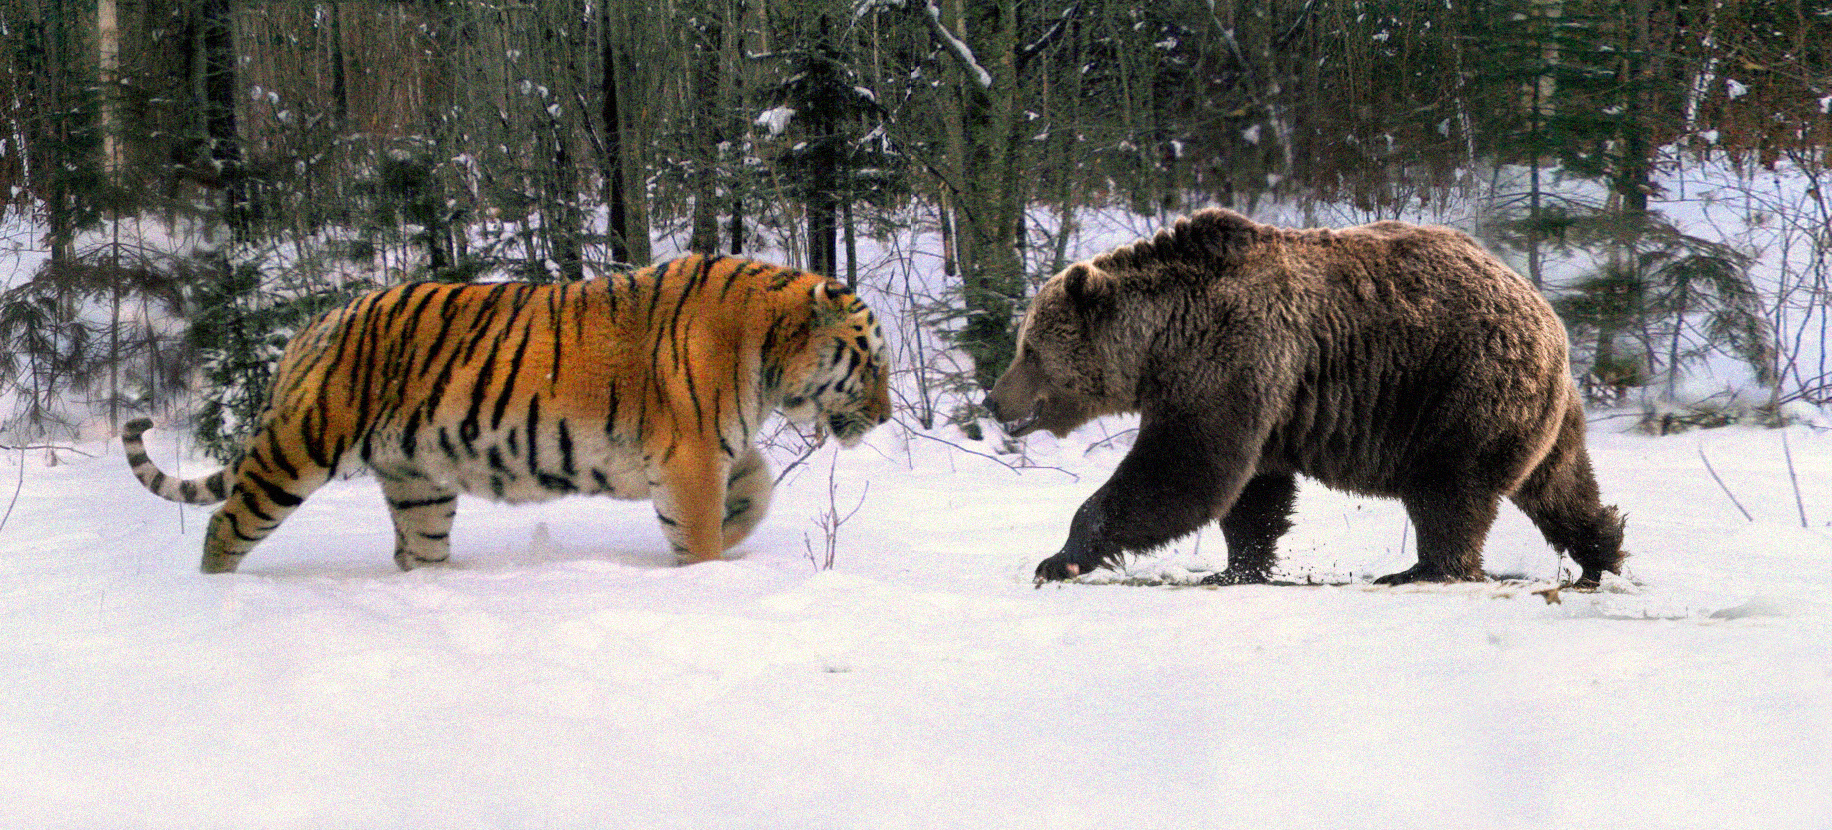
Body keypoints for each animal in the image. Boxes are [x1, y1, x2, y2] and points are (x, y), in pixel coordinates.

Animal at [118, 254, 890, 571]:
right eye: (872, 361)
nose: (886, 416)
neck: (769, 355)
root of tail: (314, 325)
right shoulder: (690, 454)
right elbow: (700, 526)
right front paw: (707, 569)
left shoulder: (709, 447)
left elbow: (756, 485)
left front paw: (735, 535)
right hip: (301, 446)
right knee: (225, 525)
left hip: (420, 484)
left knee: (418, 550)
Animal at [996, 210, 1626, 586]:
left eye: (1028, 348)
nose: (995, 402)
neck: (1162, 341)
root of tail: (1546, 312)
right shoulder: (1262, 396)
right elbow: (1252, 496)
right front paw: (1237, 568)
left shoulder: (1226, 362)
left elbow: (1184, 471)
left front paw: (1059, 557)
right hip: (1542, 411)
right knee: (1559, 484)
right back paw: (1603, 554)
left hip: (1460, 387)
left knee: (1450, 489)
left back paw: (1421, 570)